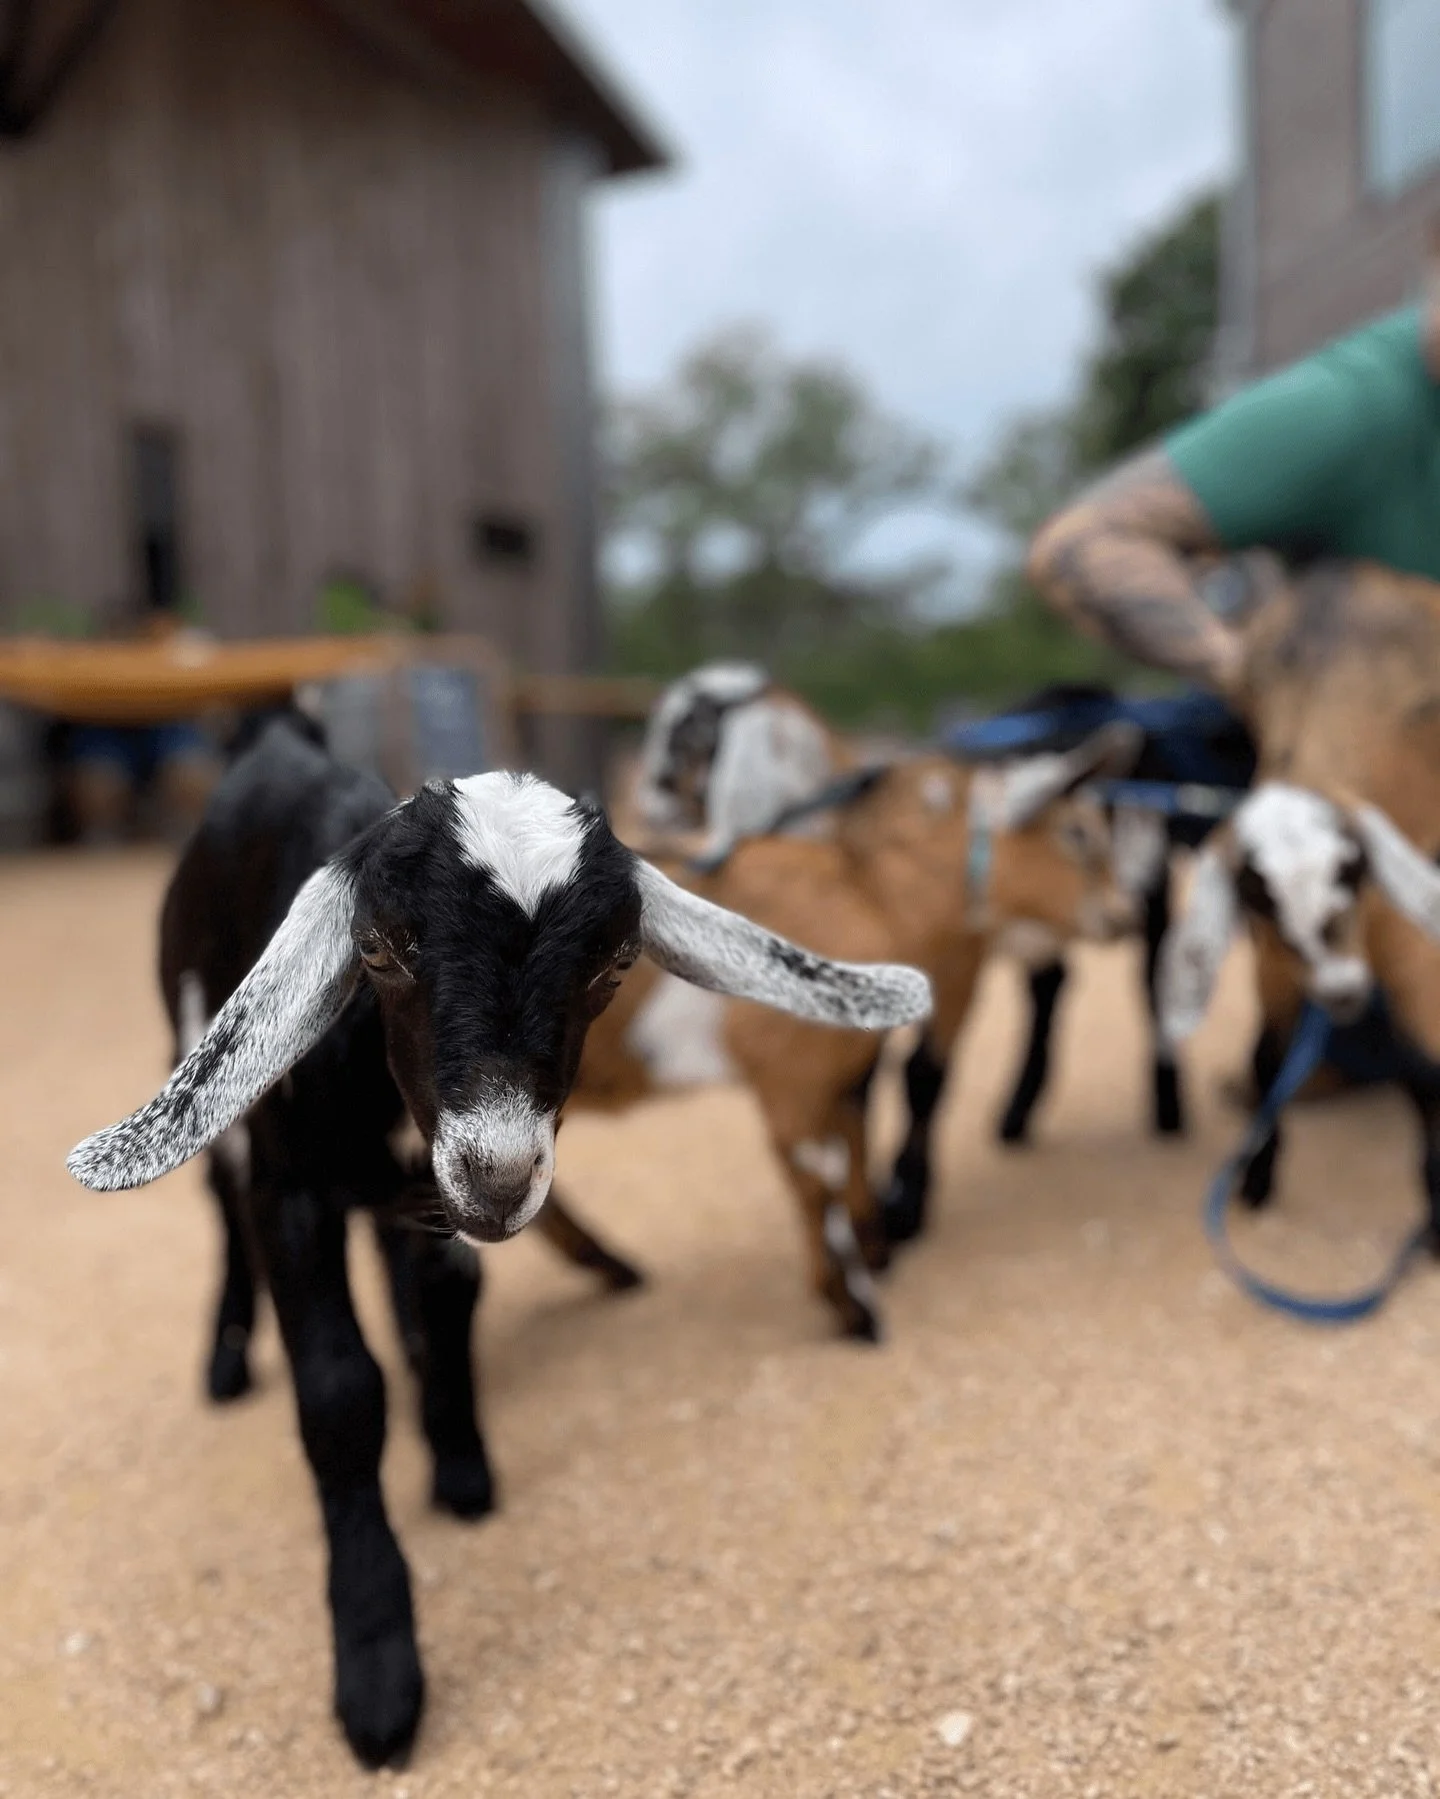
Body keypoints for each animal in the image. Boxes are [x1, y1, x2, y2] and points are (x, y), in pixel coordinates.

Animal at [66, 715, 930, 1769]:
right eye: (379, 946)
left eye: (614, 963)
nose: (500, 1173)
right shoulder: (292, 1188)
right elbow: (340, 1393)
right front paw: (379, 1676)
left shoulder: (438, 1198)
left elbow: (448, 1298)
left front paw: (459, 1461)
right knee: (222, 1207)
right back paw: (227, 1361)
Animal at [571, 733, 1139, 1335]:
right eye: (1077, 832)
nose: (1124, 916)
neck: (869, 895)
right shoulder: (789, 1081)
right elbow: (816, 1183)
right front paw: (851, 1306)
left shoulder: (840, 1077)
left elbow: (854, 1151)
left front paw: (875, 1253)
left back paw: (613, 1267)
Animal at [1159, 561, 1440, 1238]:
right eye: (1259, 898)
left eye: (1352, 870)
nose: (1341, 993)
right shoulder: (1276, 967)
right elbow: (1268, 1059)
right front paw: (1256, 1179)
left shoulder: (1400, 945)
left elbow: (1422, 1066)